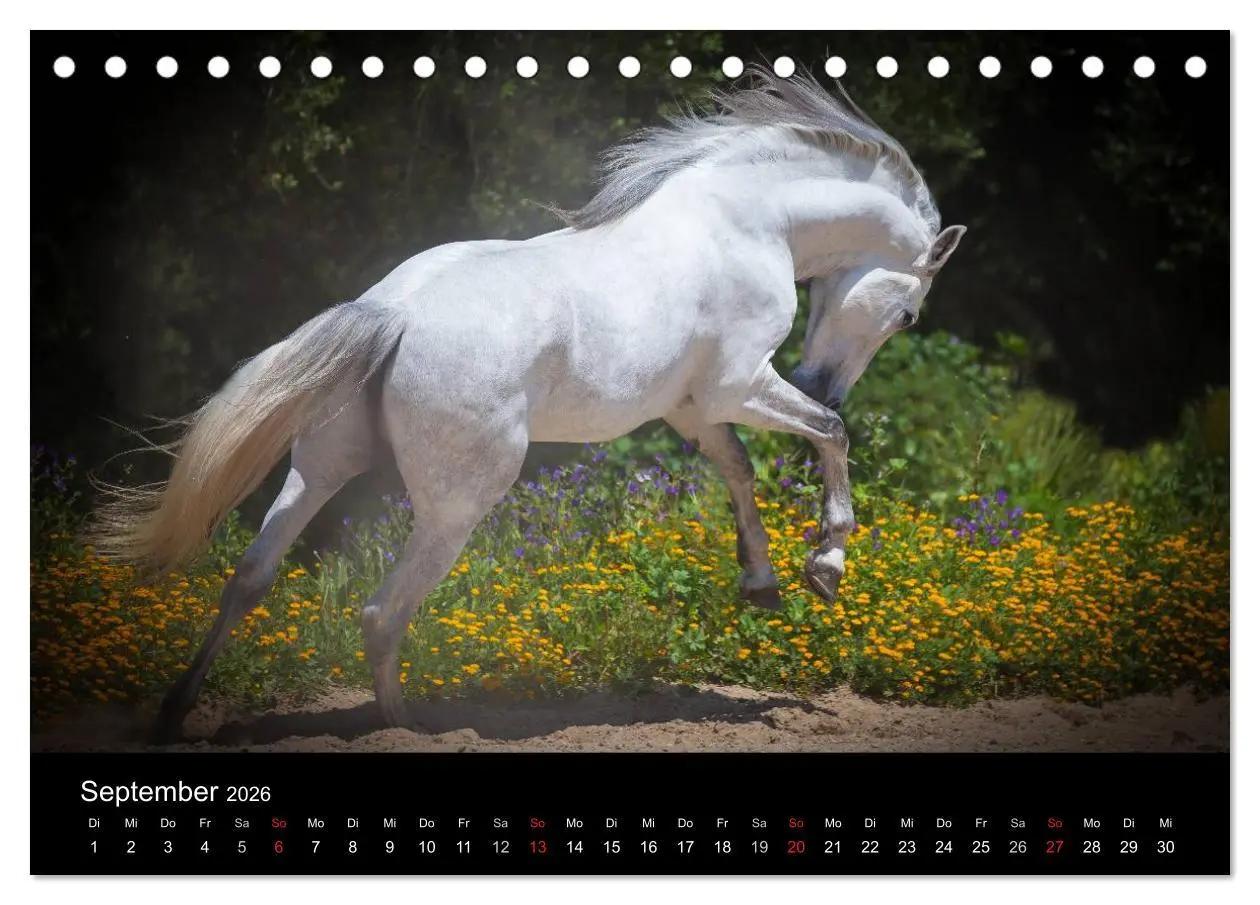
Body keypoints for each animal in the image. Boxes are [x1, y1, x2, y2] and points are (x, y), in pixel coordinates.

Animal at [86, 64, 966, 742]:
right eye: (907, 314)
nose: (823, 378)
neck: (751, 222)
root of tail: (390, 312)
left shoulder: (692, 406)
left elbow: (740, 470)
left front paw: (763, 581)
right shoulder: (740, 384)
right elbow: (831, 435)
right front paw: (826, 564)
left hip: (321, 467)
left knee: (250, 576)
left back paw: (174, 713)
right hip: (460, 501)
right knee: (379, 611)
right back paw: (414, 727)